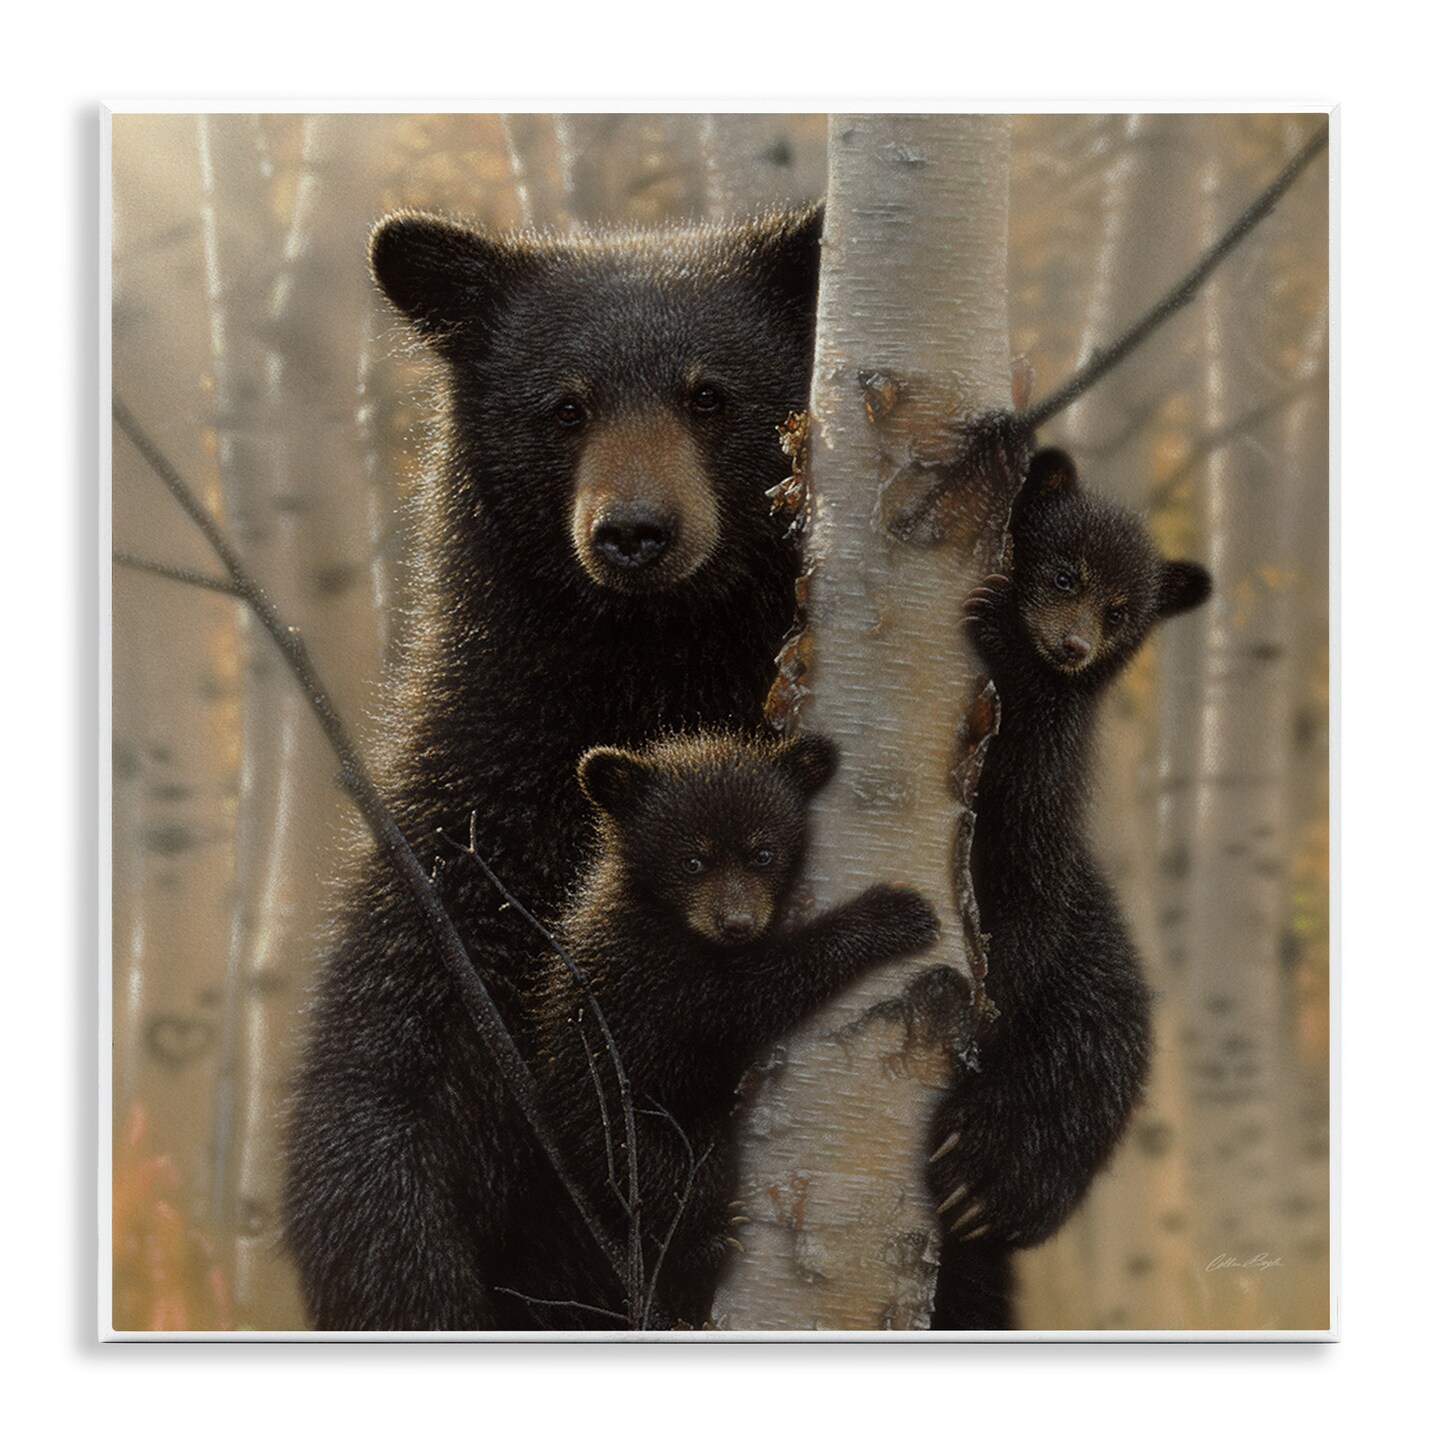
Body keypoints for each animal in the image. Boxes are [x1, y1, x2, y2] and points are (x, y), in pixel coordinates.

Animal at [282, 205, 825, 1330]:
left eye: (711, 394)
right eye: (564, 408)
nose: (635, 532)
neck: (649, 676)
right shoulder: (472, 830)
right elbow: (381, 1084)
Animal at [505, 731, 941, 1329]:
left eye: (762, 853)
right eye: (692, 860)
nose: (736, 923)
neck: (664, 914)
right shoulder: (655, 973)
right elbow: (749, 997)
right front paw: (893, 912)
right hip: (619, 1128)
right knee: (673, 1177)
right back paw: (702, 1245)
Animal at [926, 447, 1212, 1330]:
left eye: (1121, 611)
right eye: (1061, 573)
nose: (1074, 645)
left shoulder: (1041, 798)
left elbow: (1026, 900)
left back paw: (983, 1177)